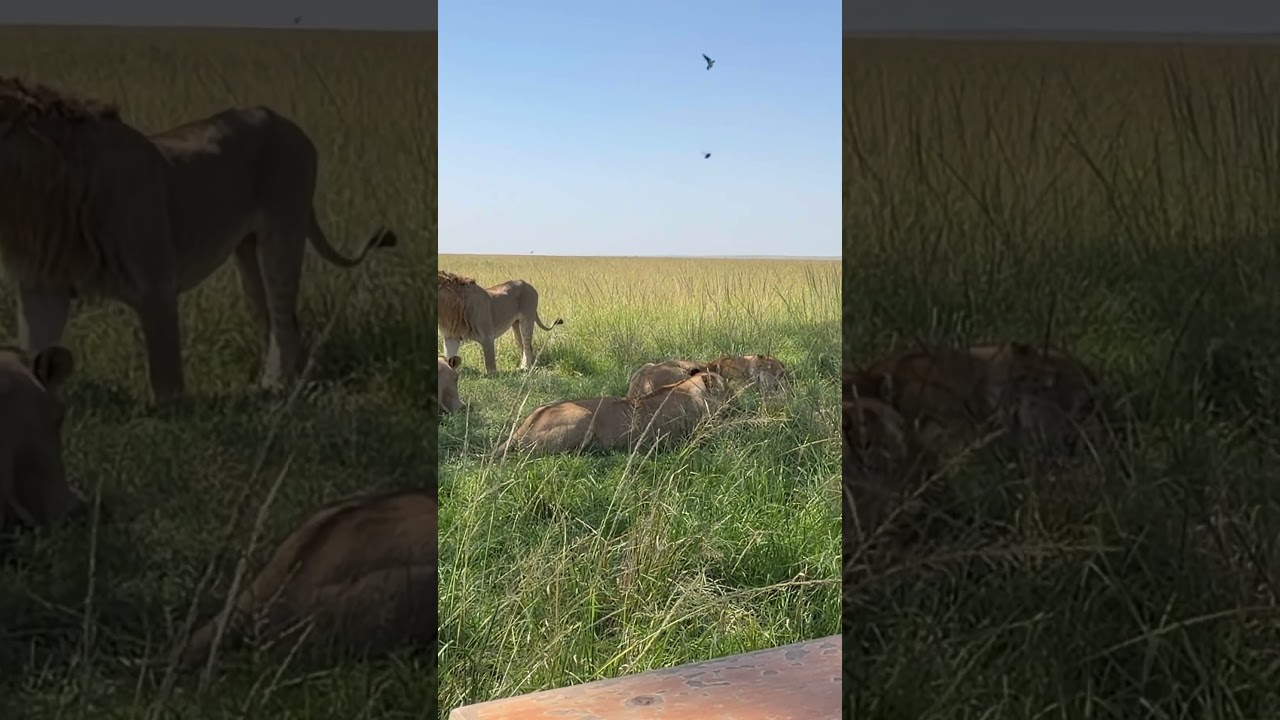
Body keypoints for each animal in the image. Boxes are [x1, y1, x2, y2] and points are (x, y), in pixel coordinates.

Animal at [0, 77, 397, 405]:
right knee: (275, 322)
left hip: (283, 233)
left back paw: (274, 388)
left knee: (285, 323)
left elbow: (166, 378)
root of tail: (285, 122)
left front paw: (168, 420)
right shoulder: (43, 287)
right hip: (249, 256)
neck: (37, 199)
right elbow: (34, 347)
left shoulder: (157, 286)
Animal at [493, 369, 728, 457]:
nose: (734, 399)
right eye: (725, 386)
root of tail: (522, 428)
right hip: (584, 418)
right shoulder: (695, 436)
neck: (690, 387)